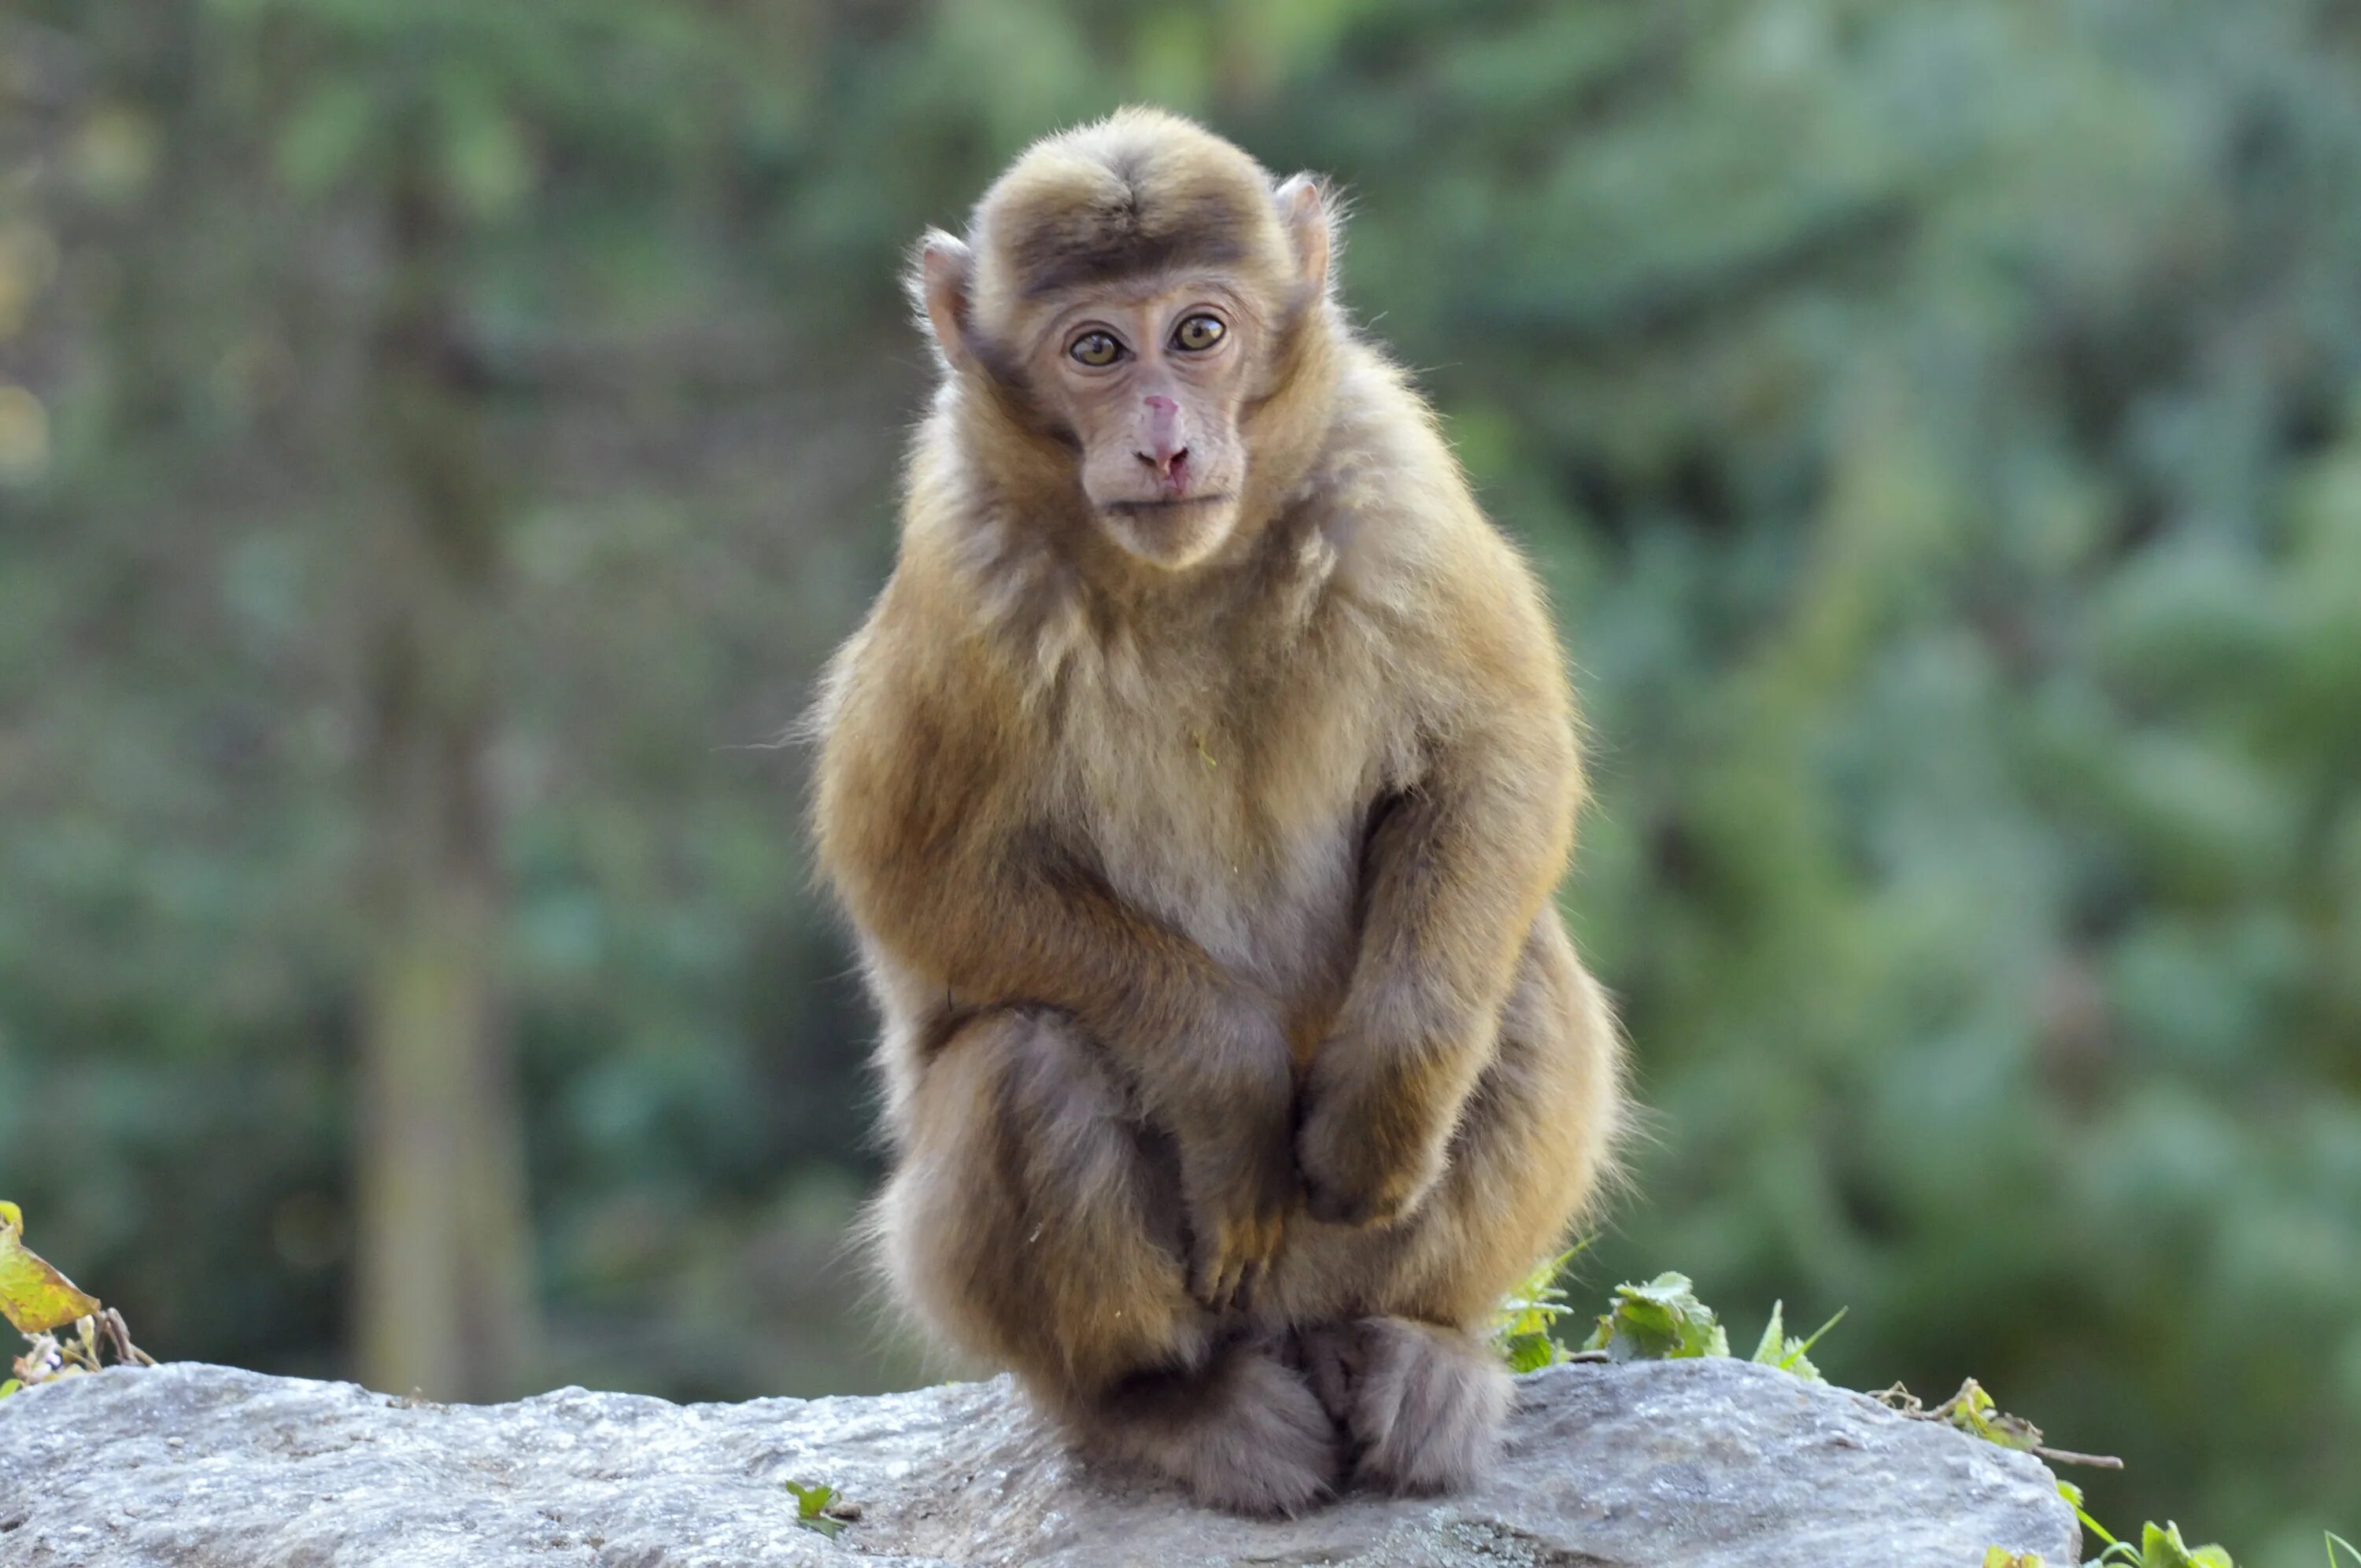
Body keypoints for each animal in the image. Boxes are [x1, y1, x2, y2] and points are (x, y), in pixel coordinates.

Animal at [812, 104, 1624, 1511]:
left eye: (1199, 332)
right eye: (1095, 348)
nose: (1166, 438)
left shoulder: (1389, 469)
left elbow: (1494, 754)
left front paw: (1382, 1102)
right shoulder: (962, 564)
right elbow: (917, 869)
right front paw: (1228, 1078)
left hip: (1350, 1255)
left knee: (1515, 972)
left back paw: (1415, 1345)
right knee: (1029, 1059)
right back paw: (1165, 1404)